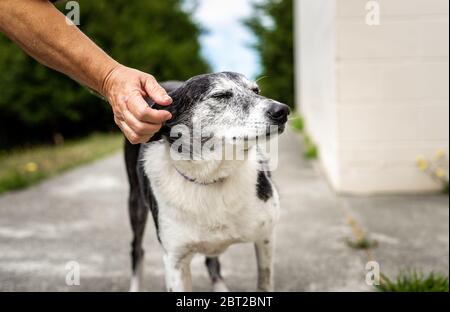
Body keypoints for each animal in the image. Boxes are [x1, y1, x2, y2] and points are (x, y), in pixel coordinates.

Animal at [125, 72, 290, 292]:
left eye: (256, 91)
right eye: (220, 95)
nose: (283, 111)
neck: (211, 177)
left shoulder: (266, 237)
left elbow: (264, 282)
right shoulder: (175, 261)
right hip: (135, 203)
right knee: (136, 250)